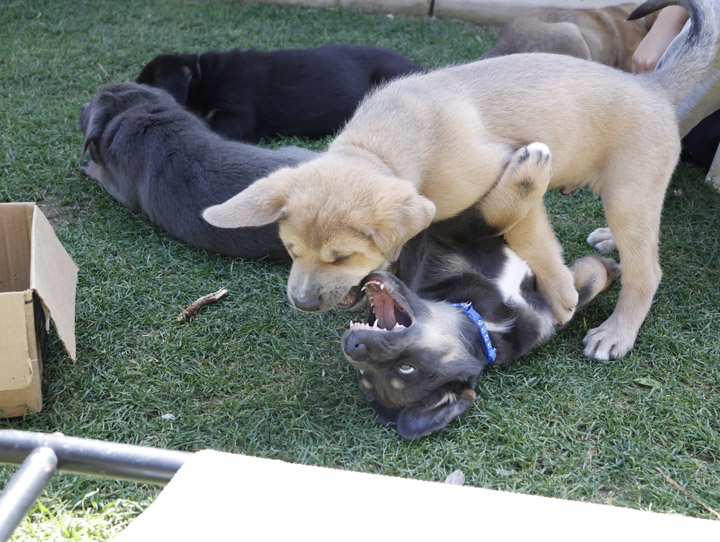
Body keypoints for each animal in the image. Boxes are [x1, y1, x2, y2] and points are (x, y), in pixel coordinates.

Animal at [344, 204, 620, 442]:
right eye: (406, 368)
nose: (350, 345)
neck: (487, 323)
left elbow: (583, 286)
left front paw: (606, 270)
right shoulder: (451, 235)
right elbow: (483, 218)